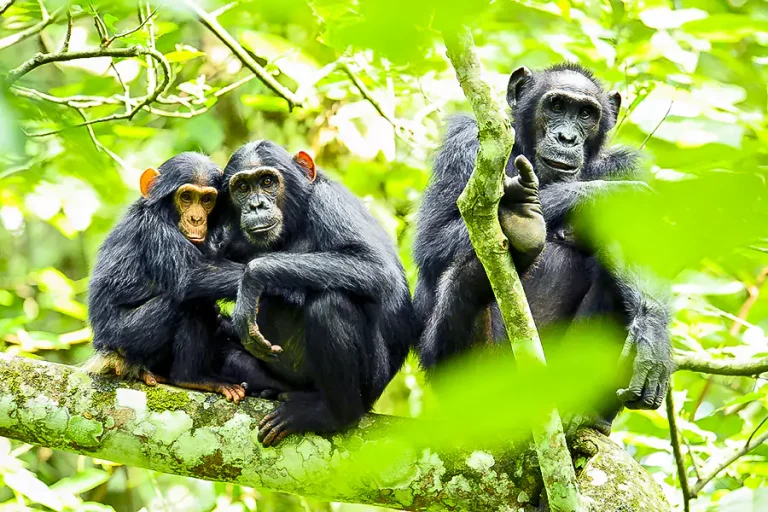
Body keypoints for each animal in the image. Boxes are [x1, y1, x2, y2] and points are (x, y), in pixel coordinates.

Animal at [85, 154, 288, 402]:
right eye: (186, 197)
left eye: (207, 199)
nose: (196, 218)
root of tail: (105, 353)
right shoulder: (155, 229)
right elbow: (190, 275)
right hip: (124, 338)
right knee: (191, 301)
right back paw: (192, 378)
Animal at [219, 139, 416, 444]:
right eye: (242, 187)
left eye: (267, 182)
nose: (256, 204)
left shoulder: (330, 203)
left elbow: (376, 267)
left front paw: (253, 278)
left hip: (370, 384)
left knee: (330, 304)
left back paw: (329, 415)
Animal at [414, 63, 672, 424]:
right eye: (557, 106)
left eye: (586, 113)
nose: (567, 137)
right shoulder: (464, 142)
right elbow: (434, 238)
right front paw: (601, 195)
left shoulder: (626, 165)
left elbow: (640, 246)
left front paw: (653, 331)